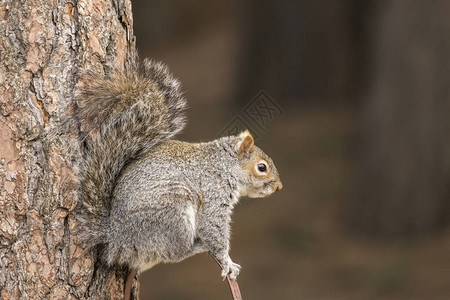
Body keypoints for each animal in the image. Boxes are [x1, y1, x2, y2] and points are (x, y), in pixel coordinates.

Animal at [74, 57, 284, 280]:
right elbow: (213, 228)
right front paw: (227, 262)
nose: (279, 186)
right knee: (174, 254)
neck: (222, 165)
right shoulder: (213, 193)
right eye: (261, 167)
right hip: (173, 215)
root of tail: (115, 236)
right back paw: (197, 246)